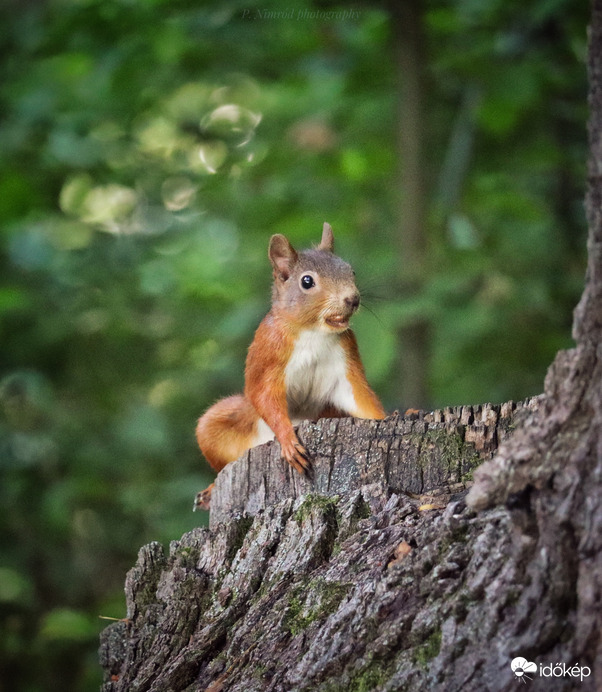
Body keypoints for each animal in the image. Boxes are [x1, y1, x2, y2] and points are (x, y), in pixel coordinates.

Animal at [195, 222, 386, 508]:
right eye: (307, 281)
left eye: (350, 270)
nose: (352, 299)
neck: (313, 332)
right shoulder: (268, 353)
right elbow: (263, 396)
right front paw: (288, 440)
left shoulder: (346, 361)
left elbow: (361, 398)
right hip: (221, 425)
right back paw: (209, 490)